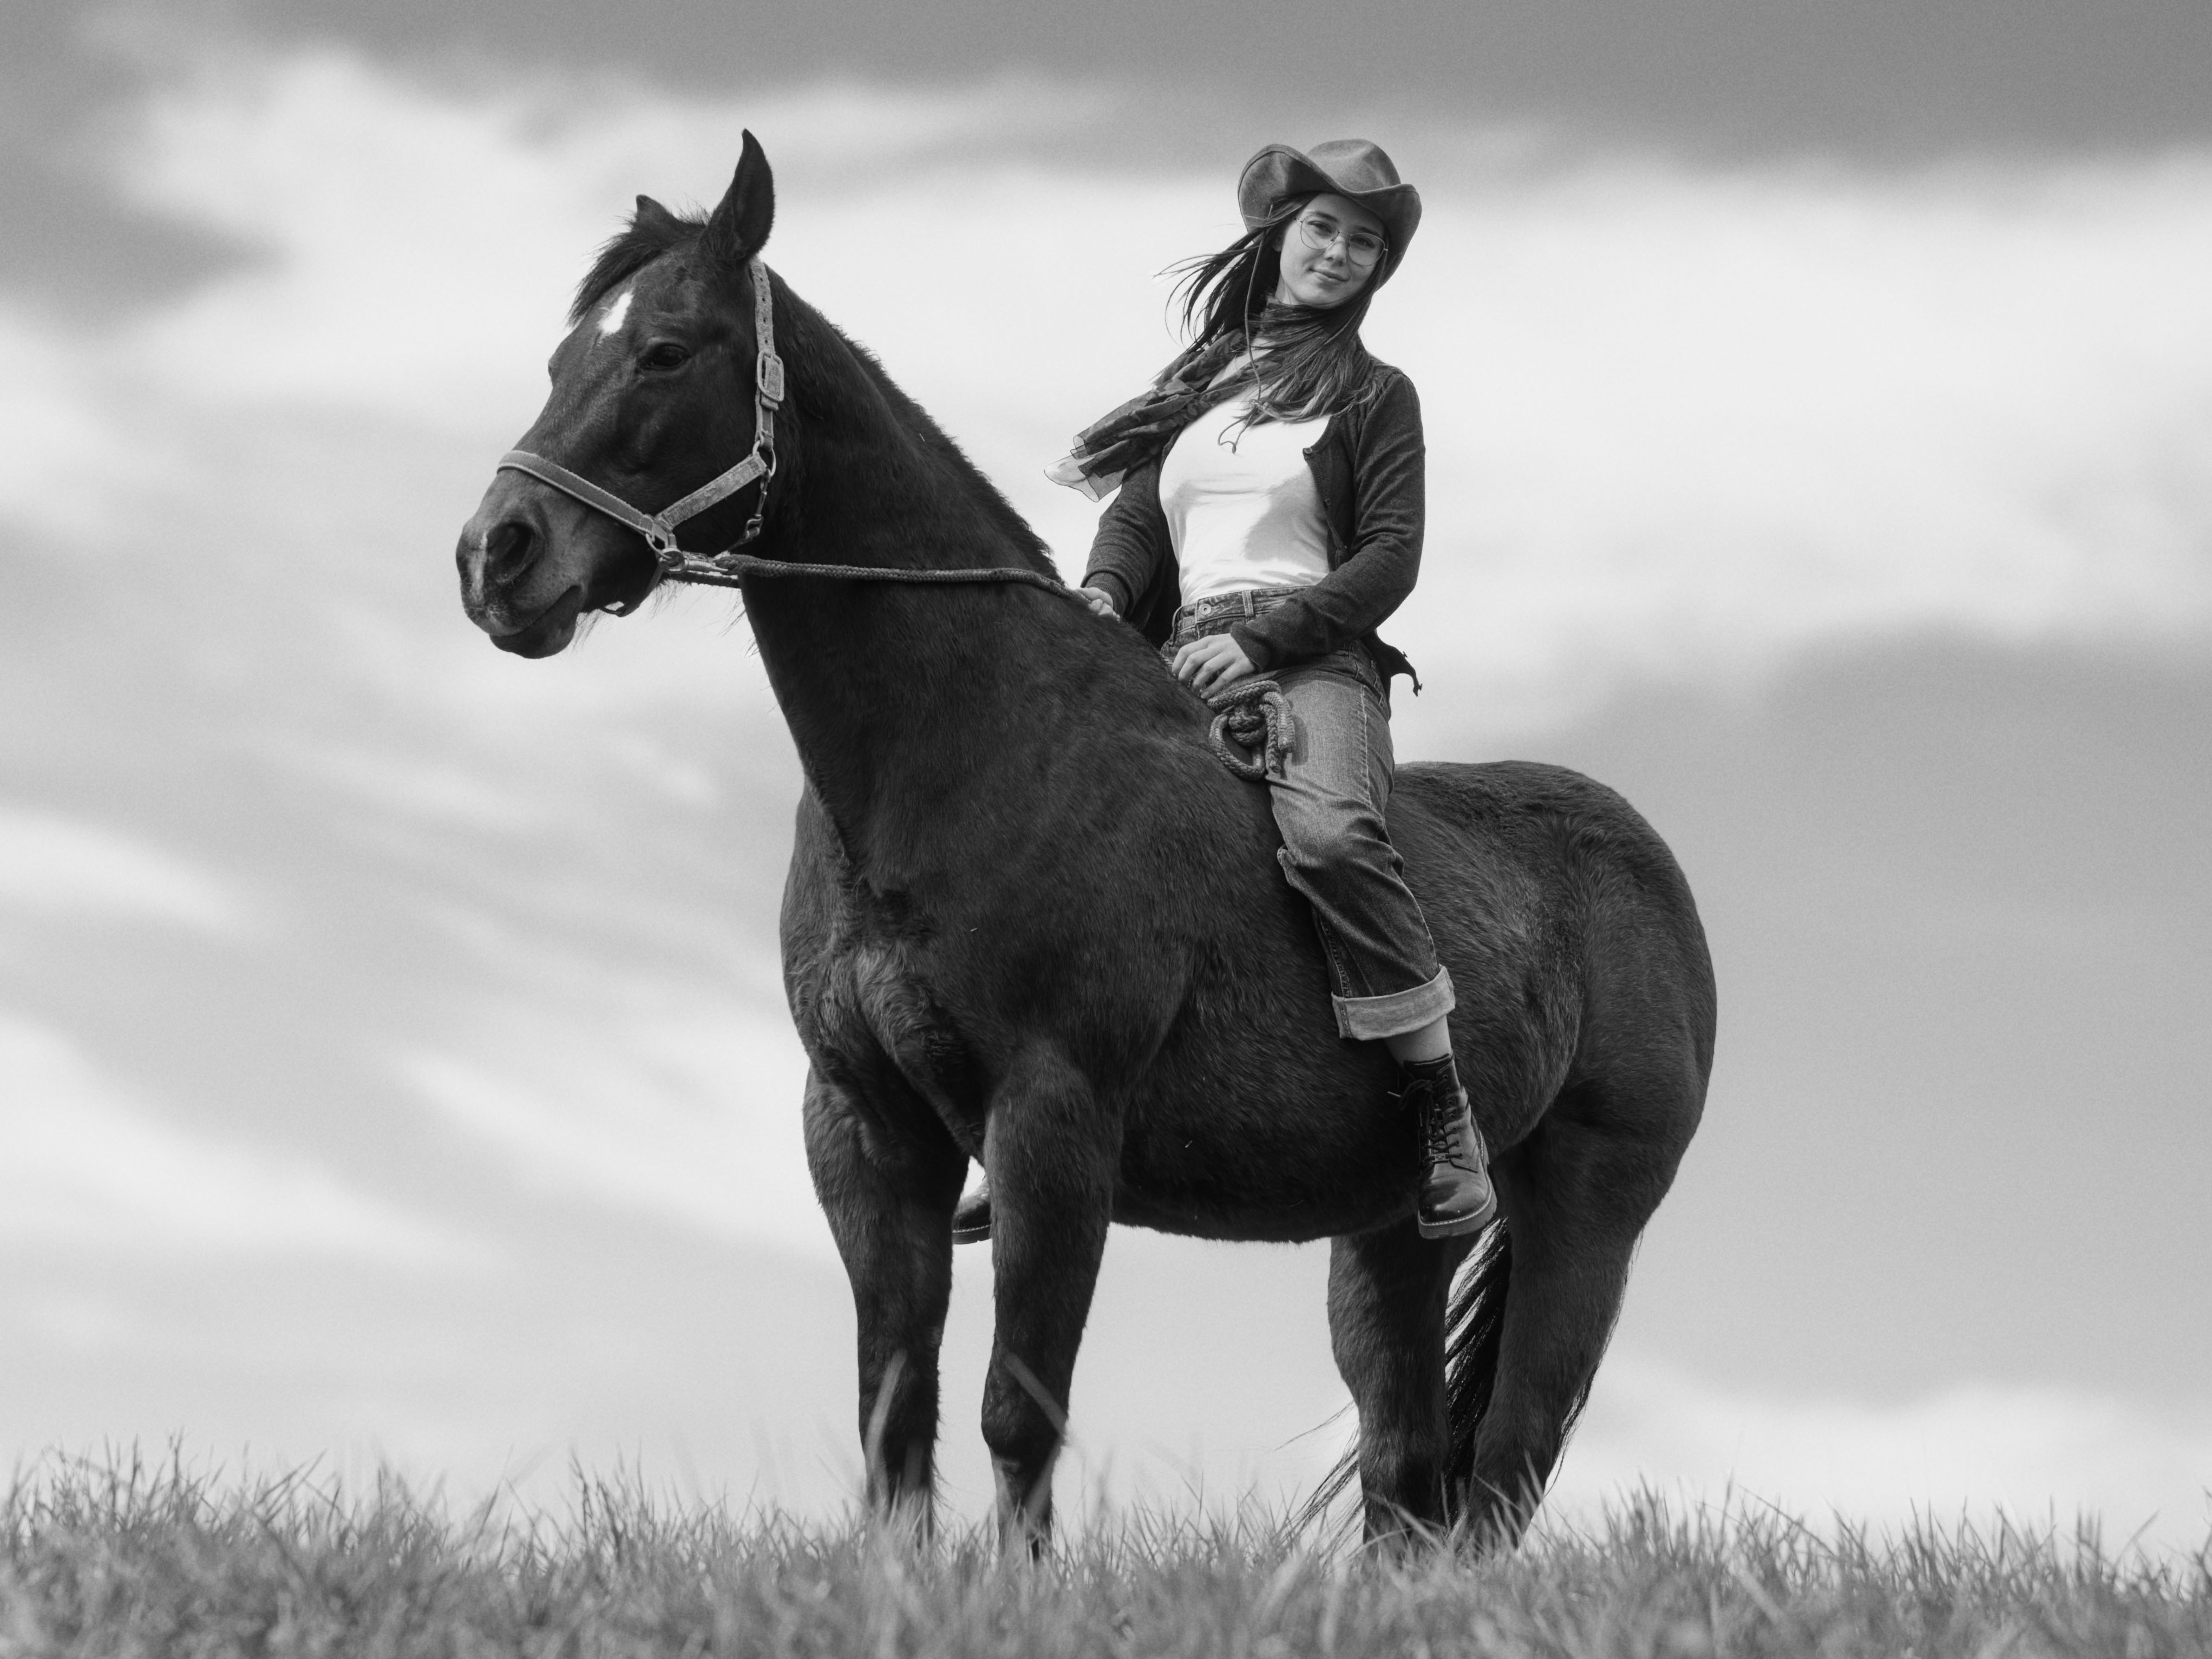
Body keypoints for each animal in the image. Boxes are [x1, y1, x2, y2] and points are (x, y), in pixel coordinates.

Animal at [455, 132, 1715, 1550]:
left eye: (667, 350)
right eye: (563, 359)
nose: (496, 556)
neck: (959, 751)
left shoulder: (1051, 1122)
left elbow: (1019, 1406)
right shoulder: (864, 1126)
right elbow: (893, 1407)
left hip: (1584, 1210)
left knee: (1504, 1461)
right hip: (1389, 1233)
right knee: (1408, 1470)